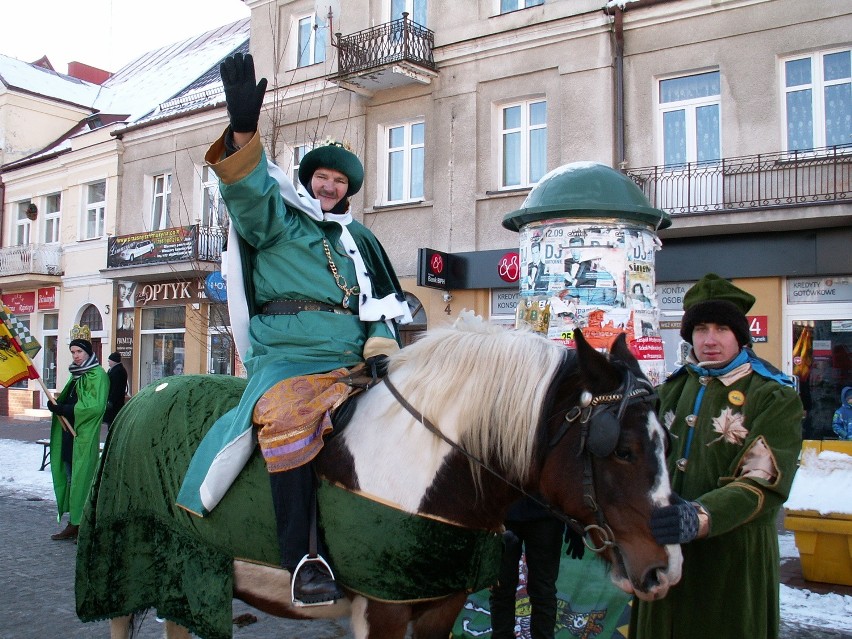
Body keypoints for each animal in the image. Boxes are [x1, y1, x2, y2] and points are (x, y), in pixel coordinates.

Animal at [78, 320, 680, 639]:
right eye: (622, 450)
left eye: (667, 443)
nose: (665, 569)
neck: (430, 463)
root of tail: (145, 395)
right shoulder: (383, 611)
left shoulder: (439, 606)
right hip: (130, 558)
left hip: (187, 568)